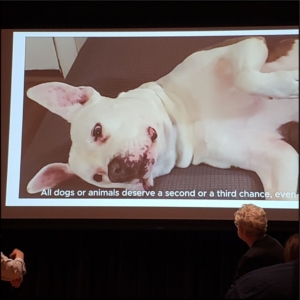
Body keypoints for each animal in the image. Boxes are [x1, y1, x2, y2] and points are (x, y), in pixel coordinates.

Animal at [25, 37, 298, 200]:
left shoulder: (246, 44)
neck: (186, 120)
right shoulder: (279, 159)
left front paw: (290, 83)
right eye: (99, 178)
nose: (117, 171)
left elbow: (245, 78)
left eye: (97, 130)